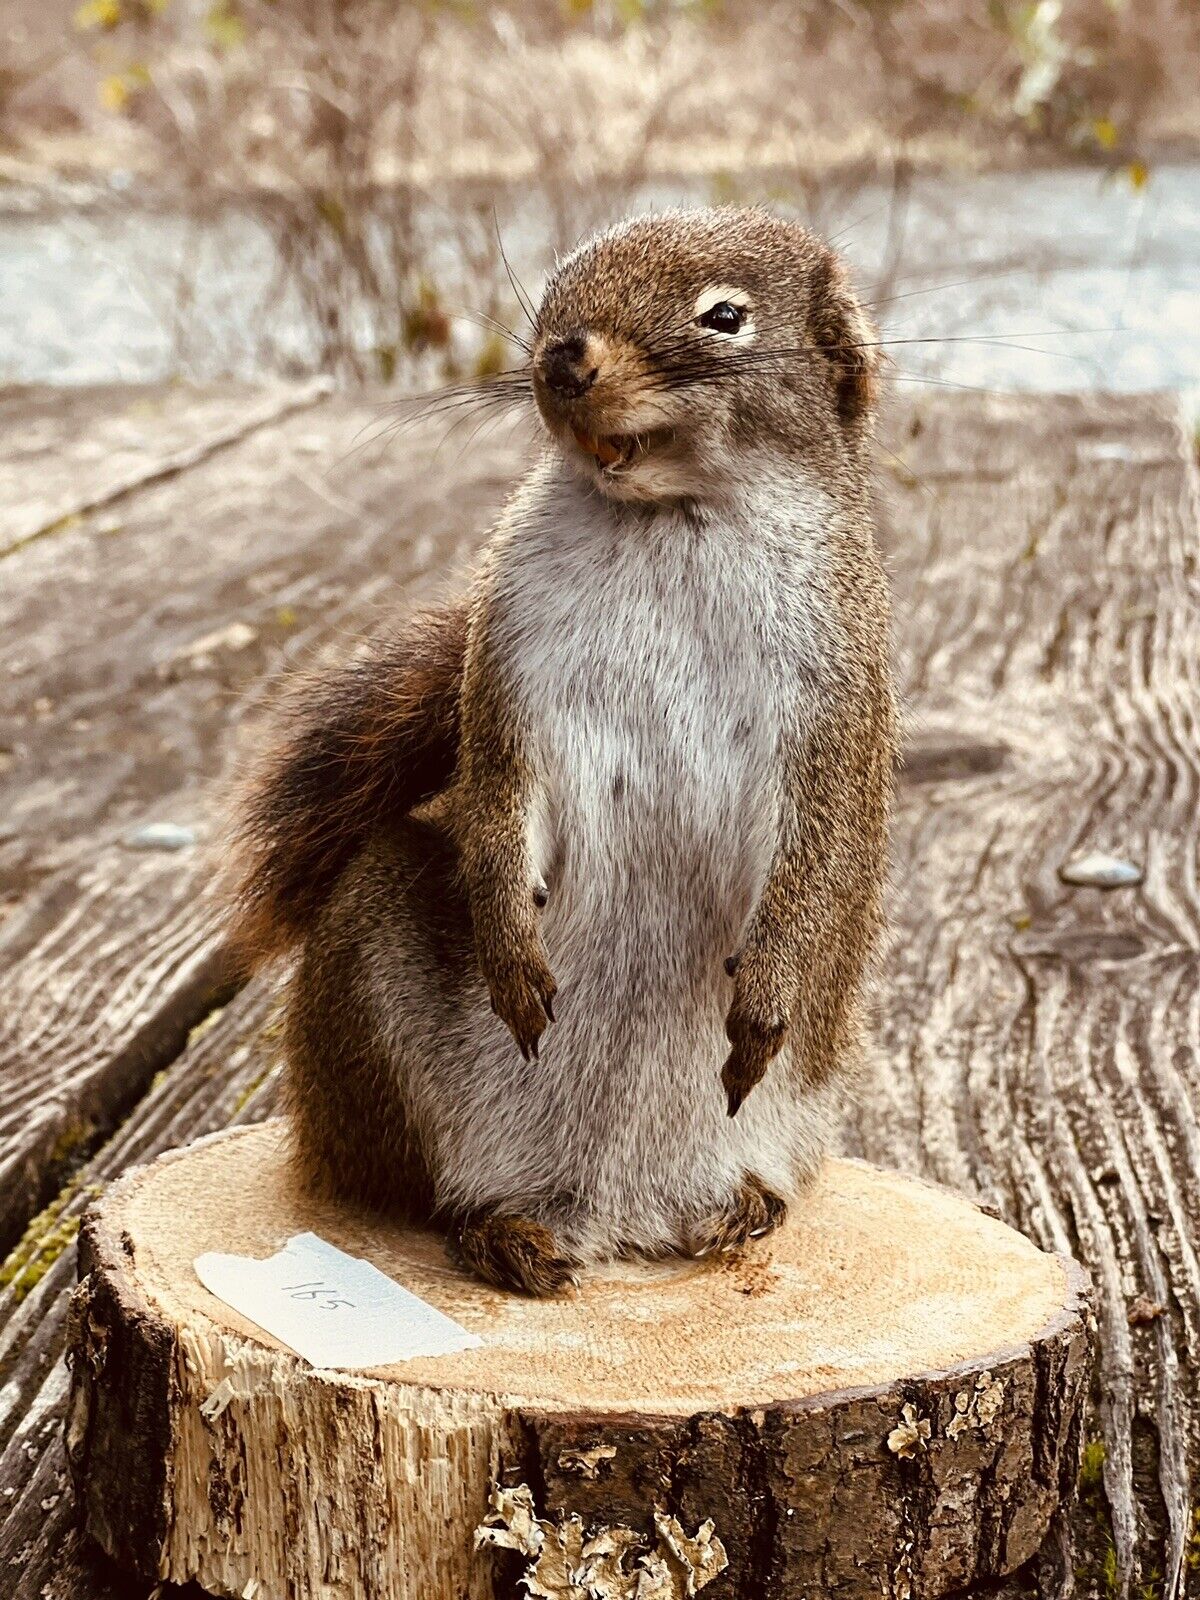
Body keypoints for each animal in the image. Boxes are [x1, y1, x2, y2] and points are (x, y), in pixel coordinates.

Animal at [227, 207, 897, 1297]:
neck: (667, 518)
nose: (561, 358)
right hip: (373, 998)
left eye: (725, 317)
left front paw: (762, 997)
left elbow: (817, 855)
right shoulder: (511, 665)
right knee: (418, 1195)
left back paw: (738, 1207)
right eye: (554, 287)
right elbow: (502, 795)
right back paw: (497, 1230)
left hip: (799, 1101)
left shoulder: (839, 703)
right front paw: (511, 945)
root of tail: (604, 1209)